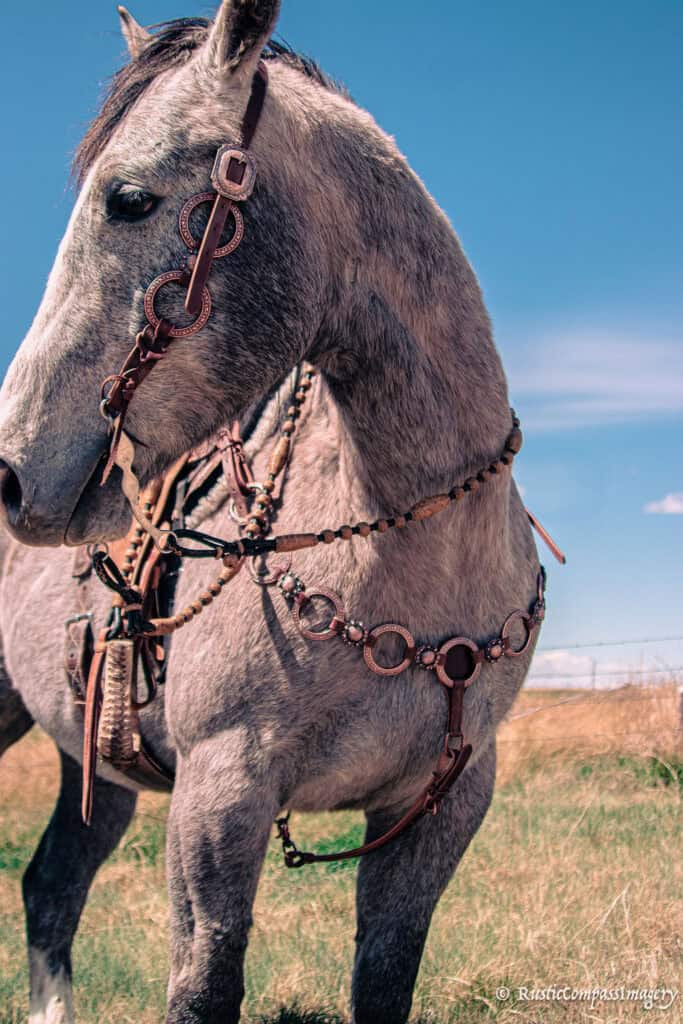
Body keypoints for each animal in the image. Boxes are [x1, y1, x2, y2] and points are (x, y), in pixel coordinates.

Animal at [0, 3, 543, 1022]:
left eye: (127, 199)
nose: (10, 475)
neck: (404, 540)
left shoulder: (442, 807)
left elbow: (384, 978)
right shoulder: (221, 796)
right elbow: (205, 984)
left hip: (95, 762)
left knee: (53, 884)